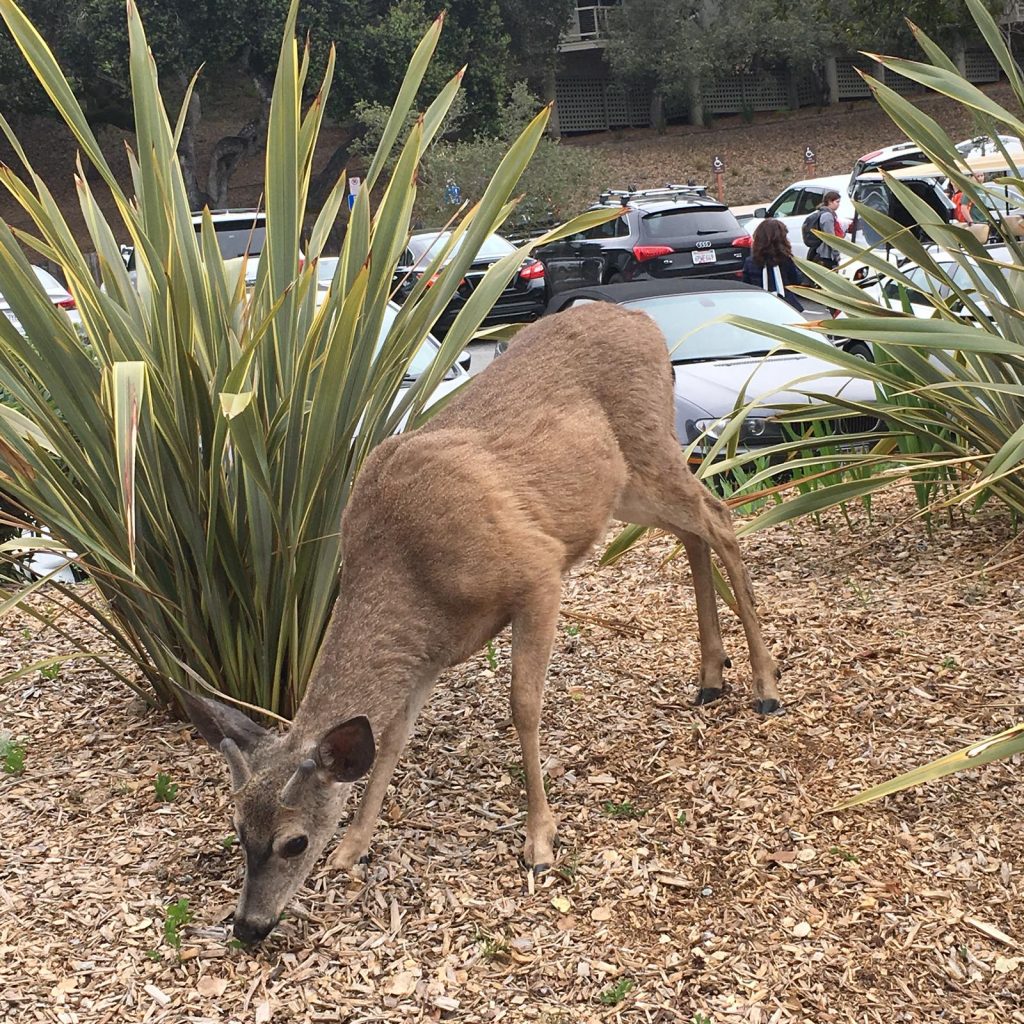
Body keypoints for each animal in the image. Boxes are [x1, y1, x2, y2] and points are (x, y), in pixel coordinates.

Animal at [178, 301, 781, 944]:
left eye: (293, 842)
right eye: (239, 830)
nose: (248, 926)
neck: (410, 571)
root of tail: (644, 321)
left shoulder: (538, 573)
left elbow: (524, 705)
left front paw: (540, 841)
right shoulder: (426, 652)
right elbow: (393, 738)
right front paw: (352, 848)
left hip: (651, 449)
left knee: (720, 518)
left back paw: (765, 686)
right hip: (625, 489)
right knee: (694, 532)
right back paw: (712, 675)